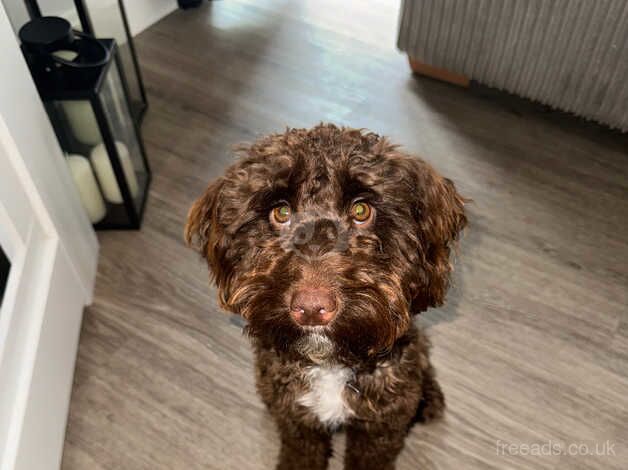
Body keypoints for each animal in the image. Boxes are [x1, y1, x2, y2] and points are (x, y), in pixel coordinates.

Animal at [186, 123, 466, 468]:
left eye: (361, 210)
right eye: (281, 212)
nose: (311, 309)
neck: (331, 364)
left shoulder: (380, 428)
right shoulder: (297, 418)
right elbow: (301, 453)